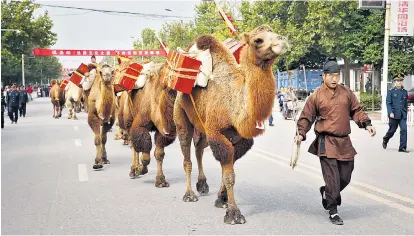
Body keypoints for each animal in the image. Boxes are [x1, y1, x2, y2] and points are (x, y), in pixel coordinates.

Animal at [173, 24, 290, 225]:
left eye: (274, 32)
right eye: (258, 40)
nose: (281, 40)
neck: (234, 106)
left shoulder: (240, 139)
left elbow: (228, 168)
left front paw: (222, 200)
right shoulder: (217, 133)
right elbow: (229, 175)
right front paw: (234, 213)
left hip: (203, 127)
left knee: (199, 148)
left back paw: (202, 185)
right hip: (182, 114)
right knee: (187, 153)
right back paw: (189, 194)